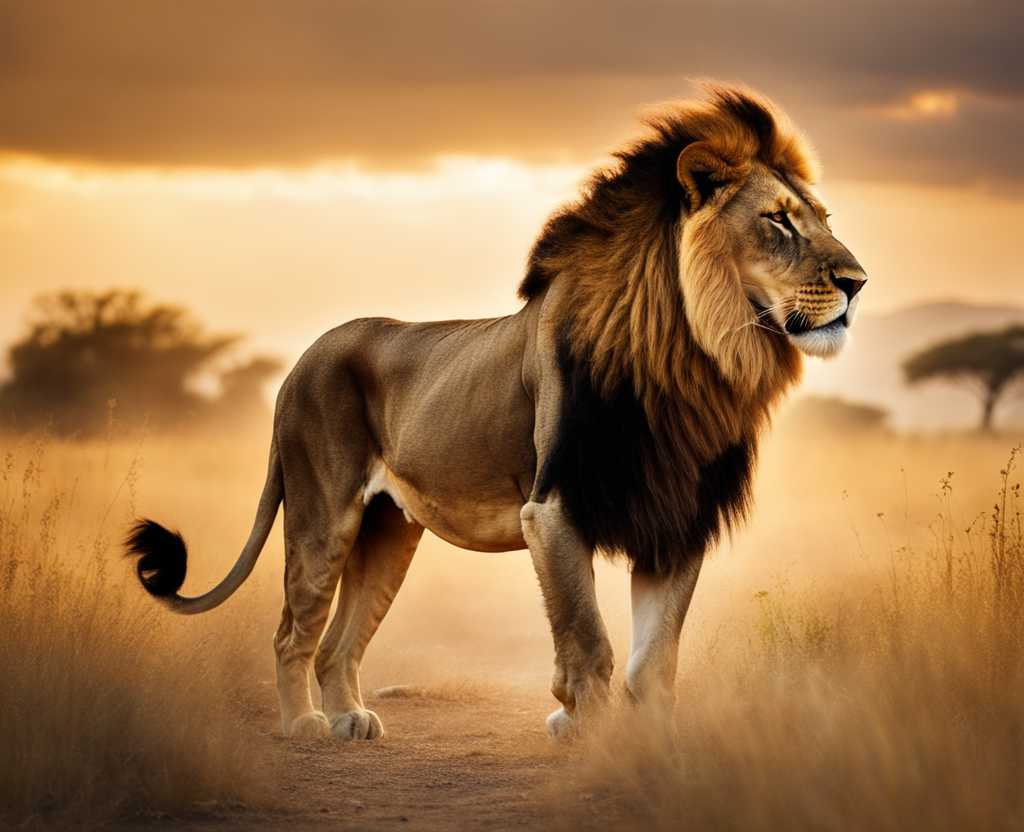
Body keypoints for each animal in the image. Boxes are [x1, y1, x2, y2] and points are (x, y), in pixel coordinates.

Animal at [126, 84, 867, 741]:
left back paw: (348, 720)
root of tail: (301, 361)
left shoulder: (675, 520)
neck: (689, 357)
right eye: (778, 220)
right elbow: (589, 643)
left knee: (339, 642)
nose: (858, 282)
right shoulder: (553, 508)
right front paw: (588, 737)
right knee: (292, 631)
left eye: (823, 218)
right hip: (322, 514)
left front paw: (646, 749)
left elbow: (654, 662)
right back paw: (304, 725)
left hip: (388, 531)